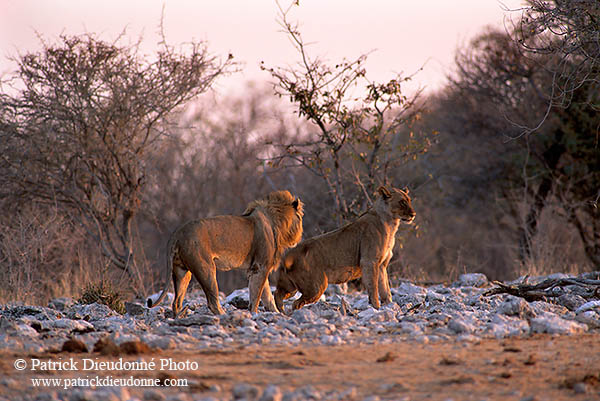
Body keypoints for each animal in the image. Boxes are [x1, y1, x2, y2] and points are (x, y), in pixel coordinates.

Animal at [148, 191, 302, 316]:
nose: (299, 237)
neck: (276, 220)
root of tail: (177, 233)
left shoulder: (258, 267)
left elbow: (267, 295)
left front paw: (276, 313)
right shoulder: (260, 266)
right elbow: (256, 295)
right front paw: (254, 314)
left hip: (181, 271)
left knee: (176, 302)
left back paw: (179, 317)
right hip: (206, 269)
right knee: (212, 301)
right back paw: (223, 315)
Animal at [274, 186, 414, 310]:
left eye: (409, 200)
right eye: (402, 202)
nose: (413, 214)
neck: (391, 224)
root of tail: (291, 252)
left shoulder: (381, 265)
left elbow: (385, 289)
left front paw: (389, 305)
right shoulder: (369, 261)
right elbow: (373, 287)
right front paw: (376, 307)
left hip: (291, 287)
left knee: (278, 294)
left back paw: (280, 312)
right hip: (317, 286)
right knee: (295, 303)